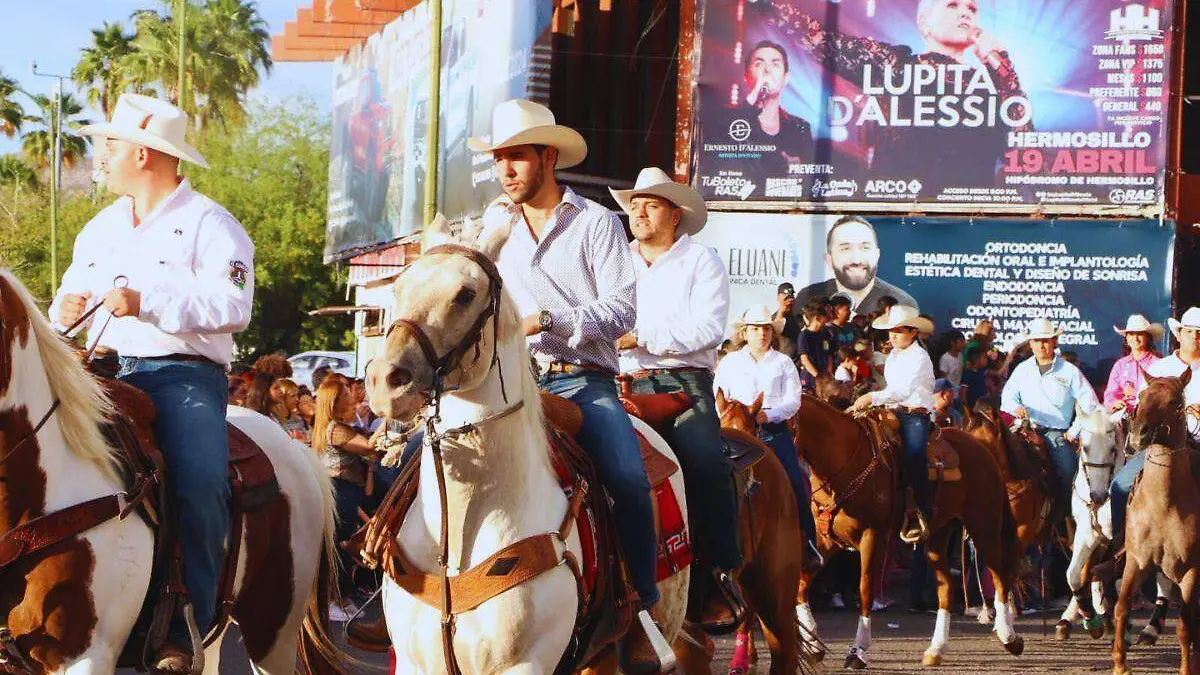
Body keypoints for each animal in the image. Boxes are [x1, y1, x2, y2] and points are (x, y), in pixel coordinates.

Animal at [796, 391, 1022, 662]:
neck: (844, 460)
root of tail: (983, 451)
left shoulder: (872, 536)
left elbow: (865, 589)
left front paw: (858, 649)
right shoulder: (825, 539)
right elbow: (802, 583)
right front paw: (812, 644)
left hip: (984, 527)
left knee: (1000, 576)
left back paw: (1009, 637)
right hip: (938, 535)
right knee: (947, 588)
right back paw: (936, 648)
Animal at [1060, 408, 1171, 638]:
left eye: (1112, 449)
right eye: (1085, 447)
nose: (1098, 495)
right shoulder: (1088, 535)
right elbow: (1075, 574)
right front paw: (1090, 617)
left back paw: (1152, 626)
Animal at [1108, 367, 1195, 672]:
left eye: (1175, 402)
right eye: (1143, 394)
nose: (1138, 433)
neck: (1164, 505)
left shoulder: (1191, 570)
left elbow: (1185, 625)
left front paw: (1188, 668)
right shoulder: (1137, 560)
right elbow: (1121, 607)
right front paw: (1120, 664)